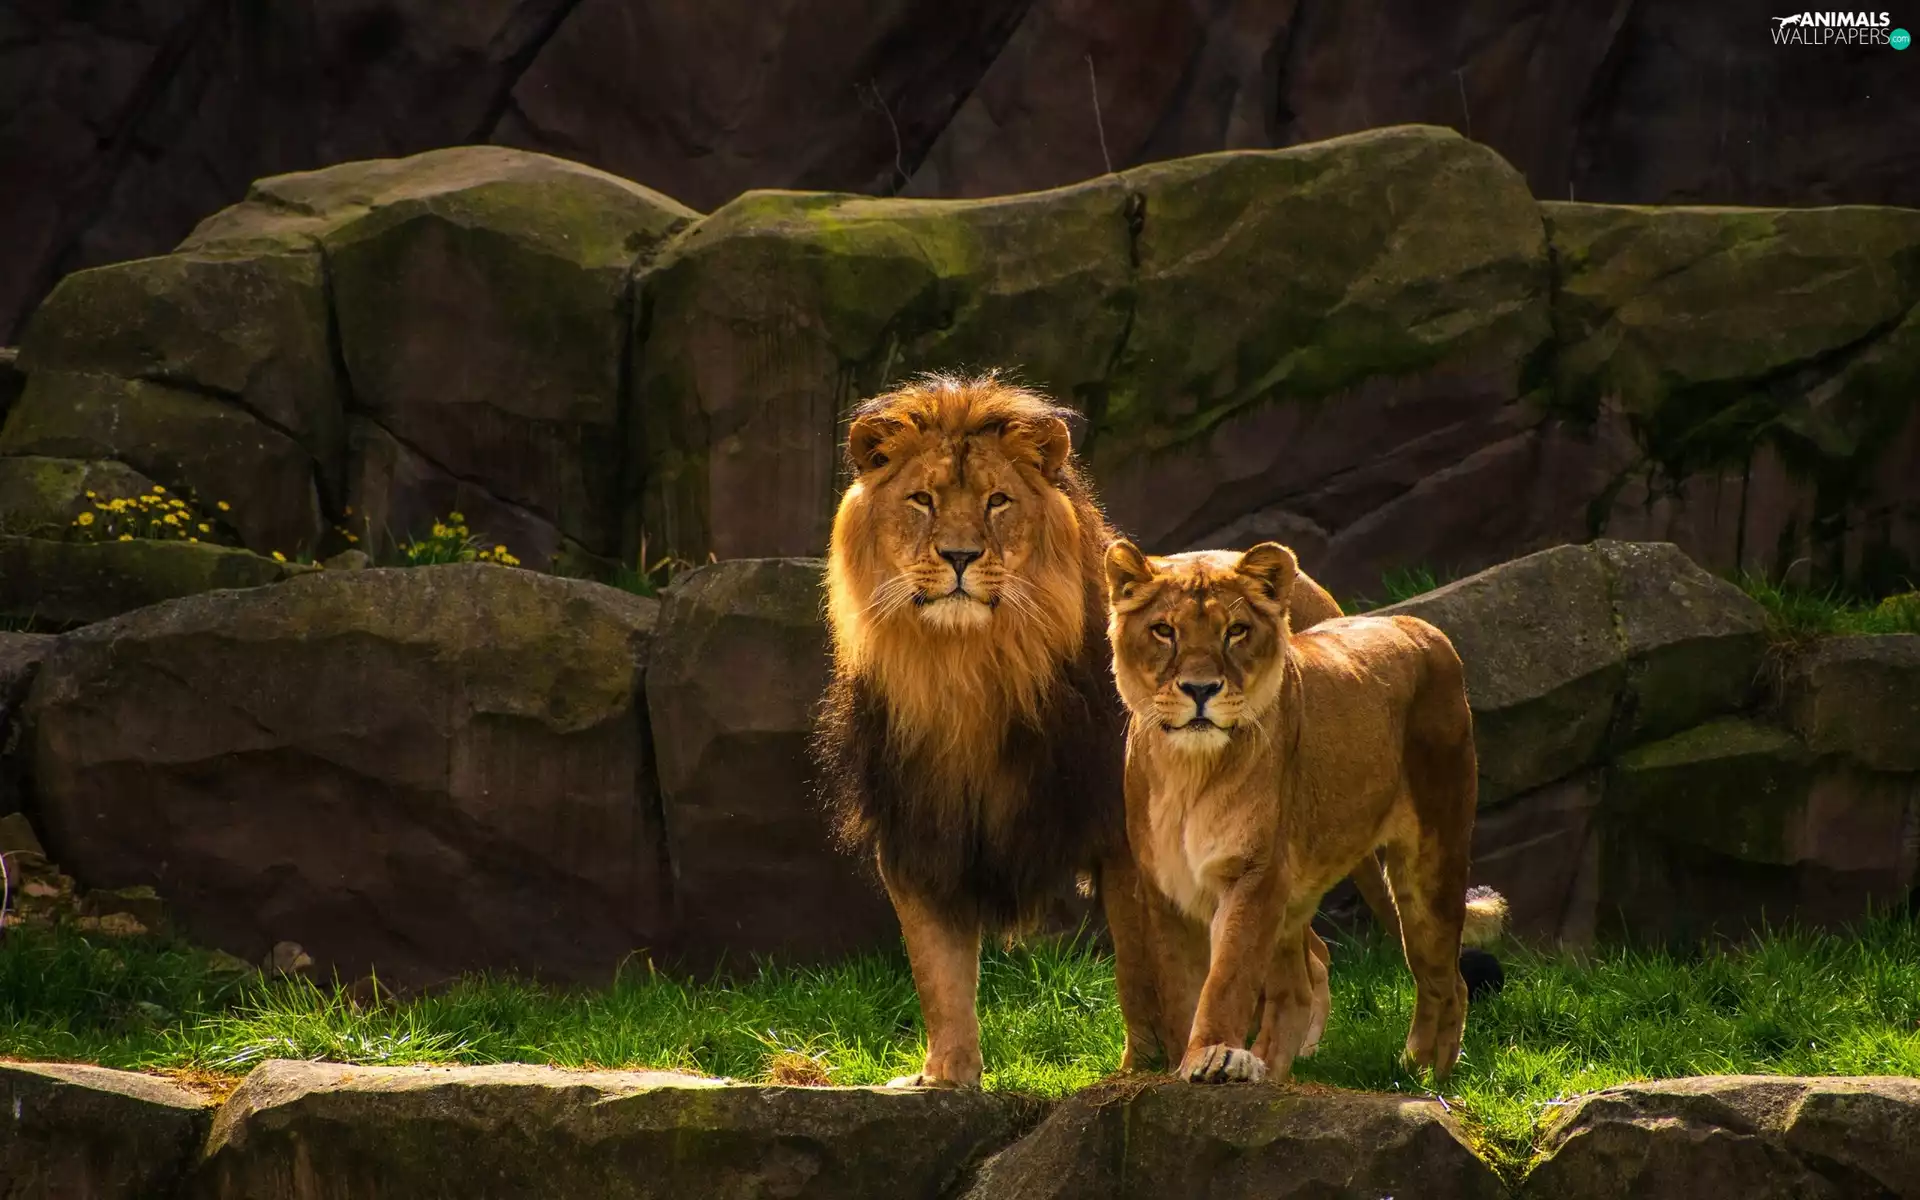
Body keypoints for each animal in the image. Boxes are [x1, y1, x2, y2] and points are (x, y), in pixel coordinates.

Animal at [812, 373, 1384, 1087]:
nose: (960, 556)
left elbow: (1144, 970)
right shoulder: (916, 828)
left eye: (997, 501)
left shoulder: (1128, 834)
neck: (965, 670)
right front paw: (946, 1077)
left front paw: (1145, 1069)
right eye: (922, 500)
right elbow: (937, 971)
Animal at [1105, 539, 1508, 1085]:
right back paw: (1275, 1070)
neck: (1189, 769)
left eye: (1236, 631)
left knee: (1445, 977)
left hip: (1432, 861)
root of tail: (1416, 625)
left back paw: (1424, 1072)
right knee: (1298, 987)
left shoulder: (1254, 874)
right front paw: (1185, 1066)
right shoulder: (1167, 888)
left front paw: (1213, 1055)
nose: (1200, 689)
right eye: (1164, 630)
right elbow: (1180, 989)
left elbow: (1226, 978)